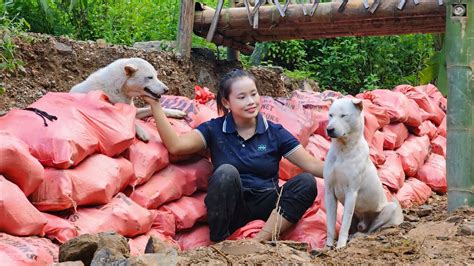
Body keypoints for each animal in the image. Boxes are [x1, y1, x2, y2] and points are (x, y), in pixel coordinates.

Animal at [322, 97, 404, 249]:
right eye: (330, 115)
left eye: (344, 115)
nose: (329, 129)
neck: (343, 150)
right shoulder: (329, 191)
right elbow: (330, 223)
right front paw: (328, 246)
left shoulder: (351, 192)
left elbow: (344, 226)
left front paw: (340, 246)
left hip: (389, 209)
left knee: (371, 230)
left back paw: (359, 236)